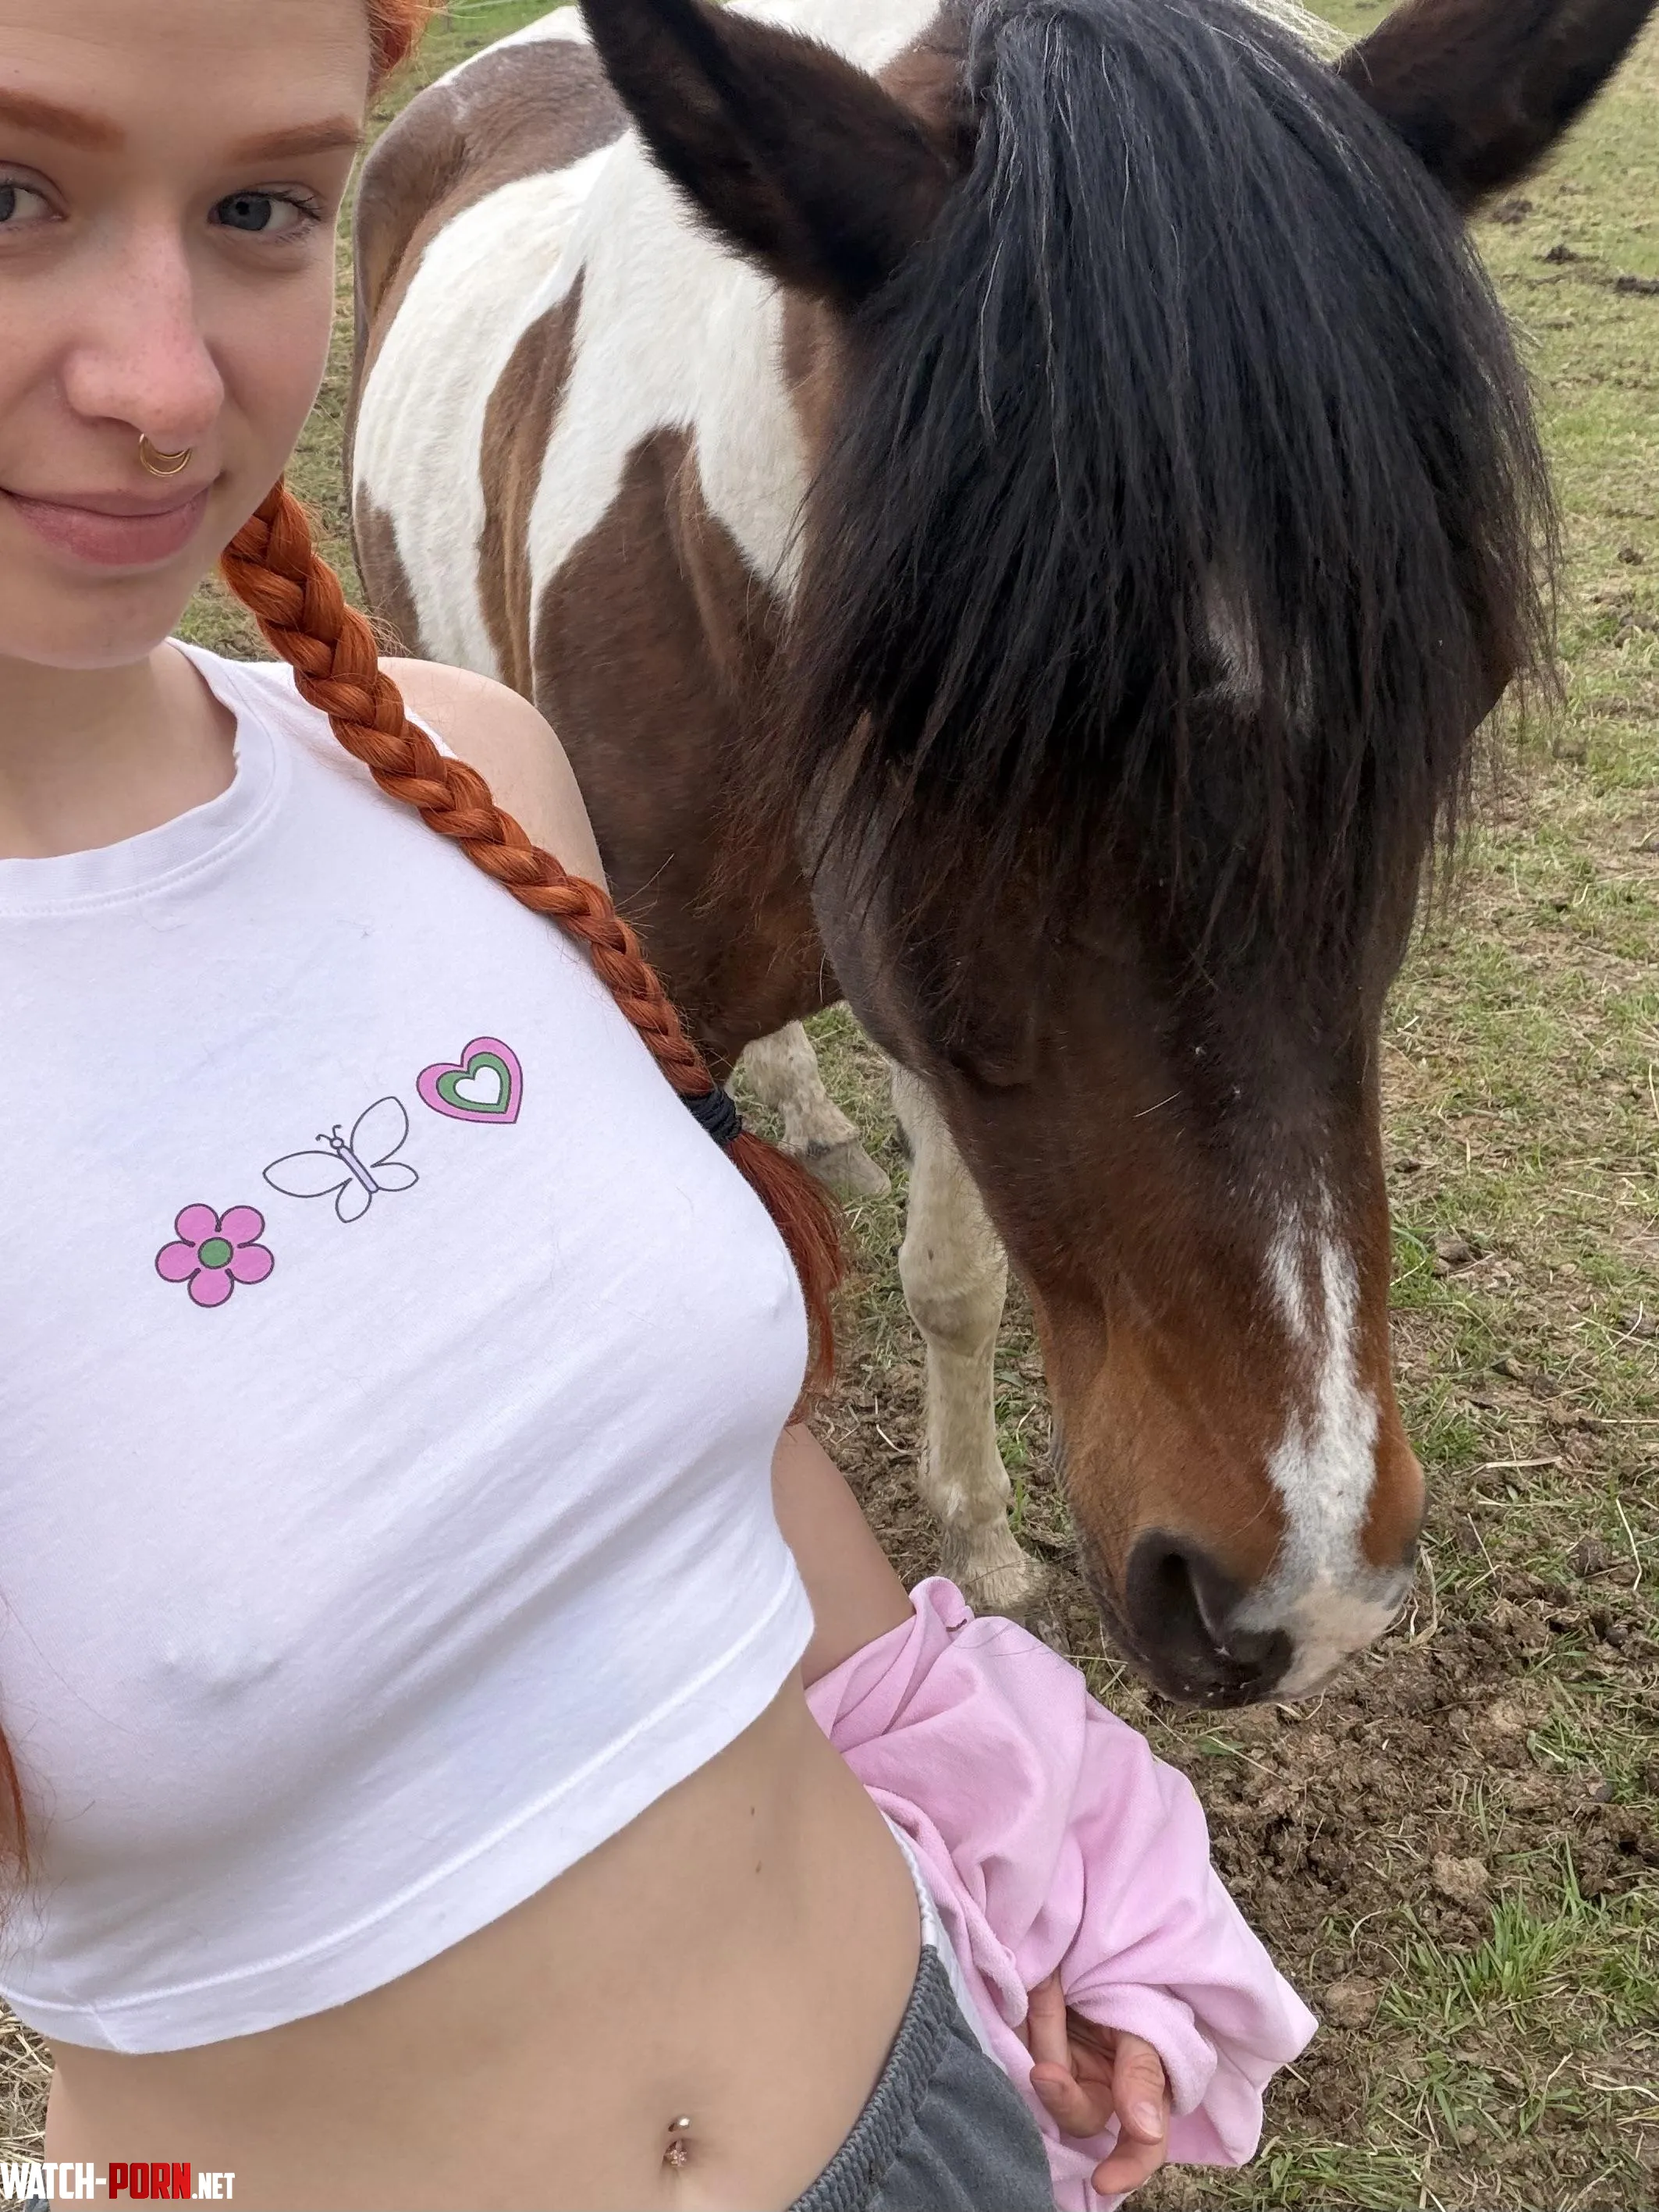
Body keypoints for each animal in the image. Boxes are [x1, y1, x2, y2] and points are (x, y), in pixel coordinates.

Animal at [348, 0, 1652, 1705]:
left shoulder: (936, 1016)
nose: (1303, 1599)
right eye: (945, 720)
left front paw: (976, 1538)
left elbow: (957, 1281)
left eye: (1463, 684)